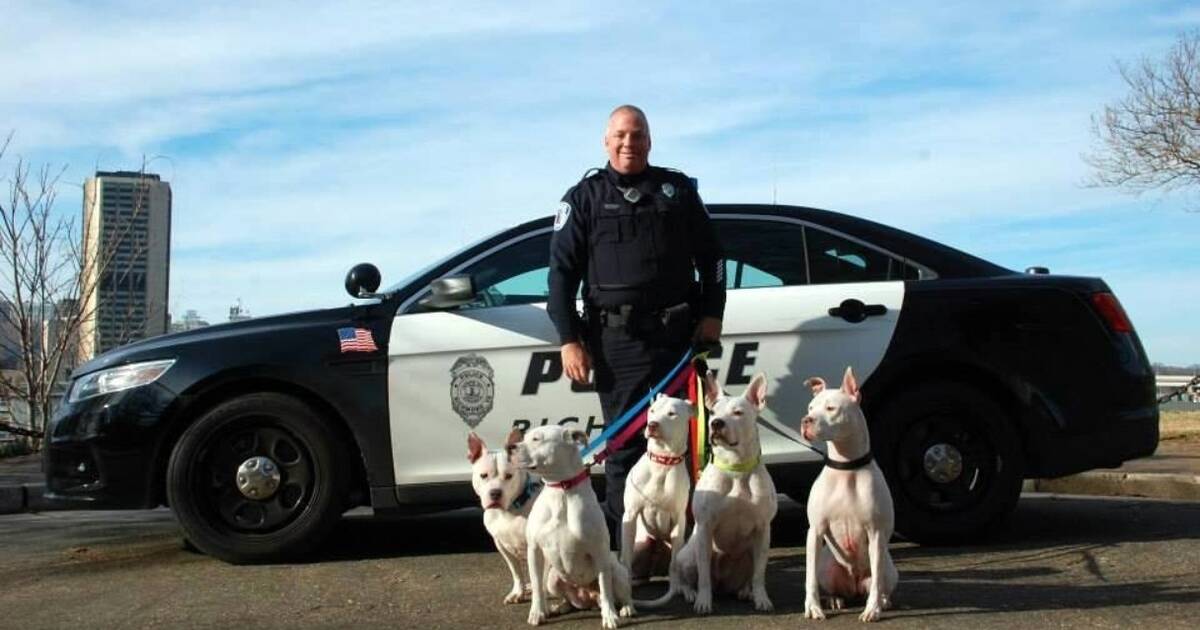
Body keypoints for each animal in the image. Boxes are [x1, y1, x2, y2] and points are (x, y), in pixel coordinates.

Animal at [468, 429, 544, 602]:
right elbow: (516, 571)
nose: (495, 493)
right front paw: (518, 592)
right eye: (483, 475)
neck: (509, 510)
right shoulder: (502, 545)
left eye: (509, 476)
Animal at [506, 424, 638, 624]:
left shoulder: (599, 551)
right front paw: (537, 612)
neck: (561, 489)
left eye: (537, 439)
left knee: (619, 593)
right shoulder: (534, 550)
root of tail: (587, 597)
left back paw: (626, 608)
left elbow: (605, 585)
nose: (509, 447)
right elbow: (536, 585)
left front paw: (610, 617)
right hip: (553, 578)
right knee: (564, 596)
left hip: (617, 571)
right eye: (524, 436)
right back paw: (559, 607)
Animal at [619, 393, 696, 585]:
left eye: (672, 414)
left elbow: (674, 563)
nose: (652, 425)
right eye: (652, 410)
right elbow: (626, 557)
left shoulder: (679, 519)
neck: (663, 462)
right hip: (641, 544)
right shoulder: (630, 515)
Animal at [638, 372, 777, 612]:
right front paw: (703, 601)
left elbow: (759, 575)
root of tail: (723, 585)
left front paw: (762, 599)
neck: (735, 468)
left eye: (738, 412)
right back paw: (690, 592)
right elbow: (703, 575)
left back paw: (746, 591)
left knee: (749, 576)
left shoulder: (762, 529)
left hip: (749, 554)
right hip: (688, 555)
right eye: (712, 413)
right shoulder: (705, 528)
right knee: (685, 577)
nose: (716, 423)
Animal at [801, 364, 897, 619]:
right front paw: (813, 607)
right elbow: (809, 577)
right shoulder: (815, 532)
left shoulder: (875, 533)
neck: (846, 467)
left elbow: (876, 582)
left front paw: (872, 610)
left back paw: (883, 601)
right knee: (833, 586)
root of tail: (854, 585)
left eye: (831, 408)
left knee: (879, 582)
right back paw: (835, 599)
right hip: (827, 566)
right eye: (810, 407)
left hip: (889, 568)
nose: (806, 420)